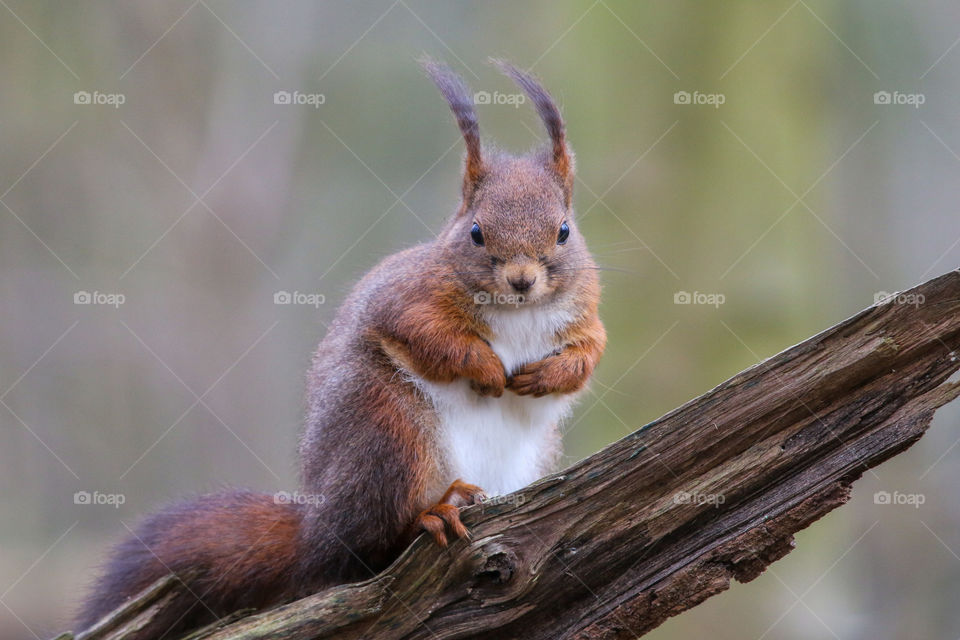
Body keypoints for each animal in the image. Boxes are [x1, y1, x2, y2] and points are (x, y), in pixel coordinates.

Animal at [75, 58, 604, 636]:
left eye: (564, 231)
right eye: (476, 233)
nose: (522, 280)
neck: (517, 311)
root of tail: (315, 529)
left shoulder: (586, 315)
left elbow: (589, 354)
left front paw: (550, 376)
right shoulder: (405, 299)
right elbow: (431, 336)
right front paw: (485, 368)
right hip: (387, 432)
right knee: (365, 549)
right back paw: (433, 512)